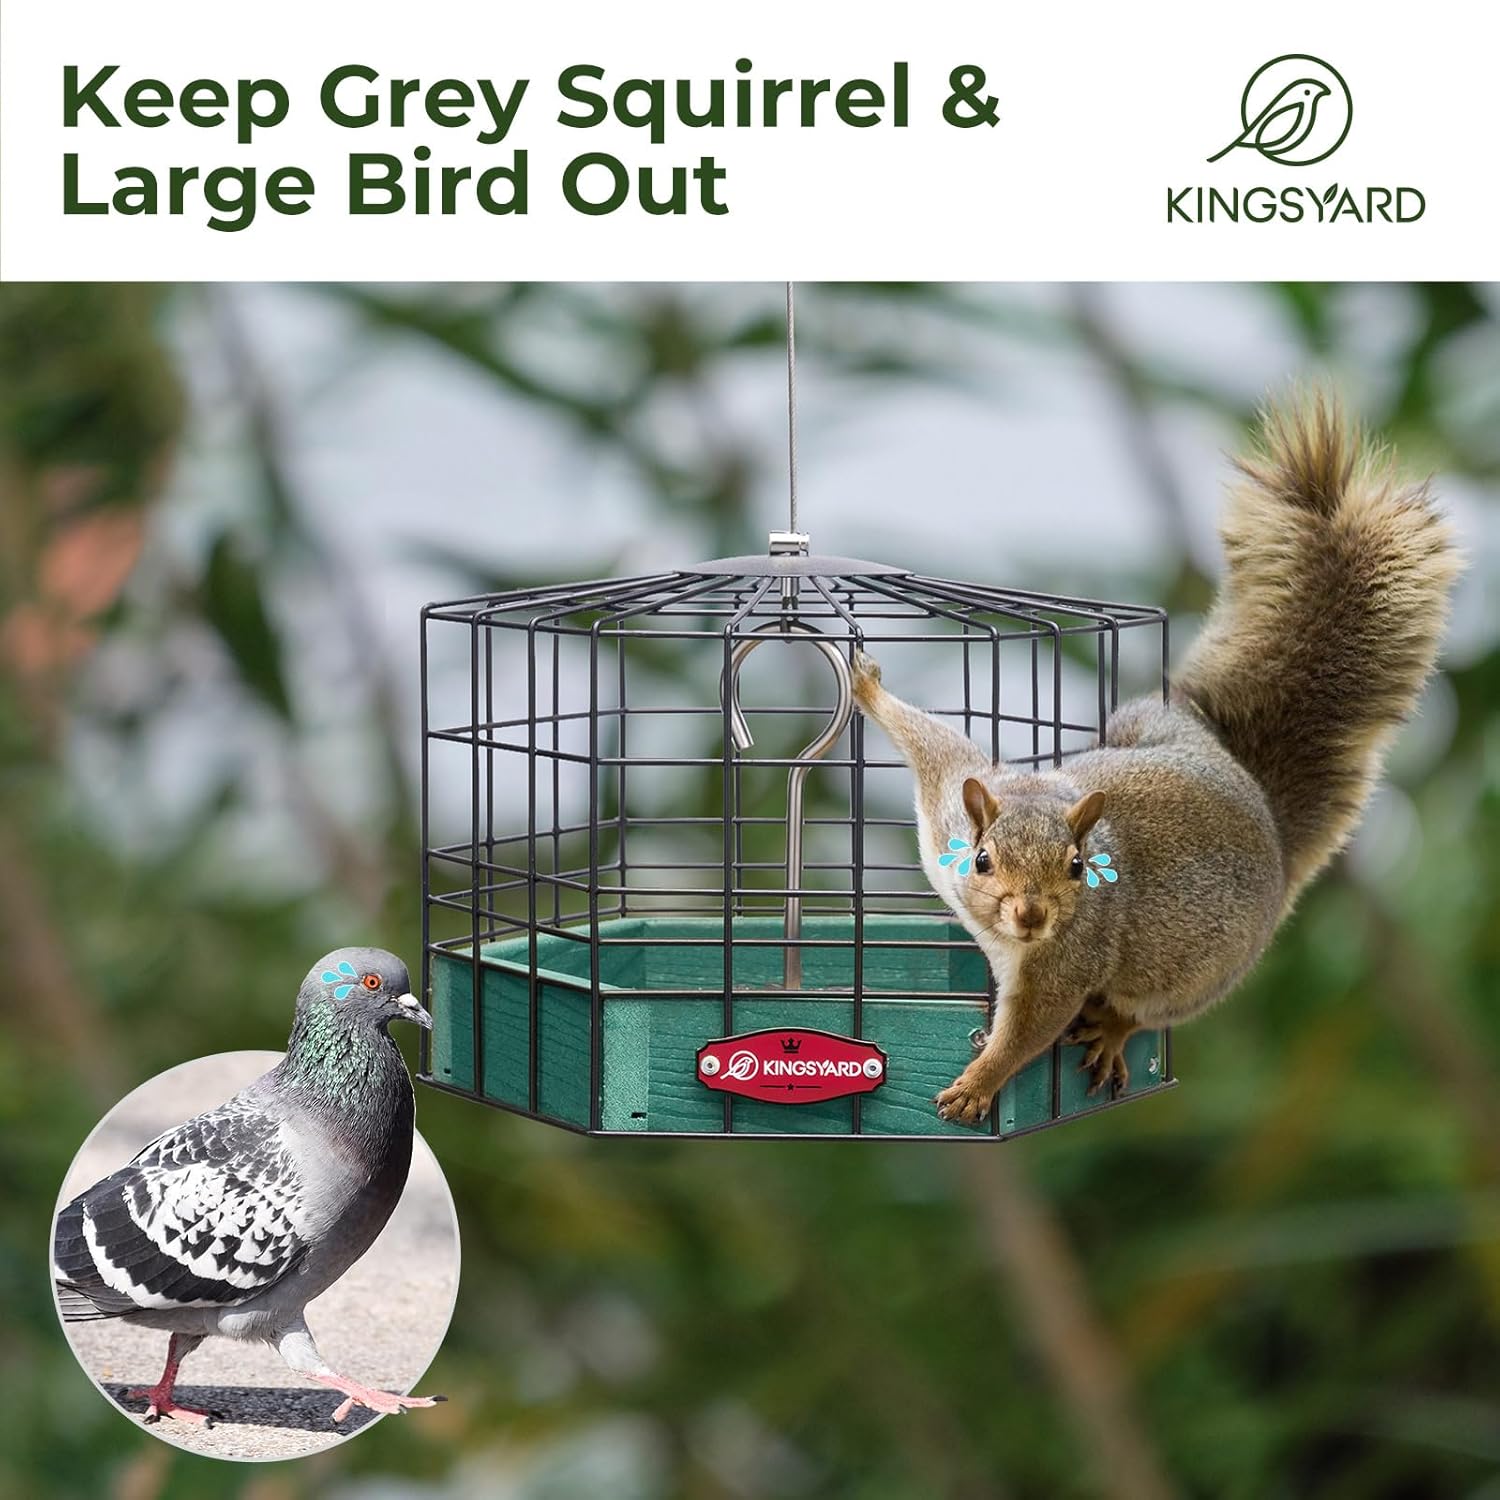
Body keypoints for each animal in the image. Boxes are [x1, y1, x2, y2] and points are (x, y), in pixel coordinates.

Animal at [851, 394, 1461, 1125]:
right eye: (982, 860)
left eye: (1078, 867)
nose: (1031, 916)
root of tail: (1269, 825)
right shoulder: (949, 795)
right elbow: (931, 741)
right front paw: (866, 686)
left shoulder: (1068, 962)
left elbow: (1029, 1029)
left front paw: (977, 1085)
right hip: (1143, 722)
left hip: (1193, 974)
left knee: (1148, 1010)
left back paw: (1115, 1030)